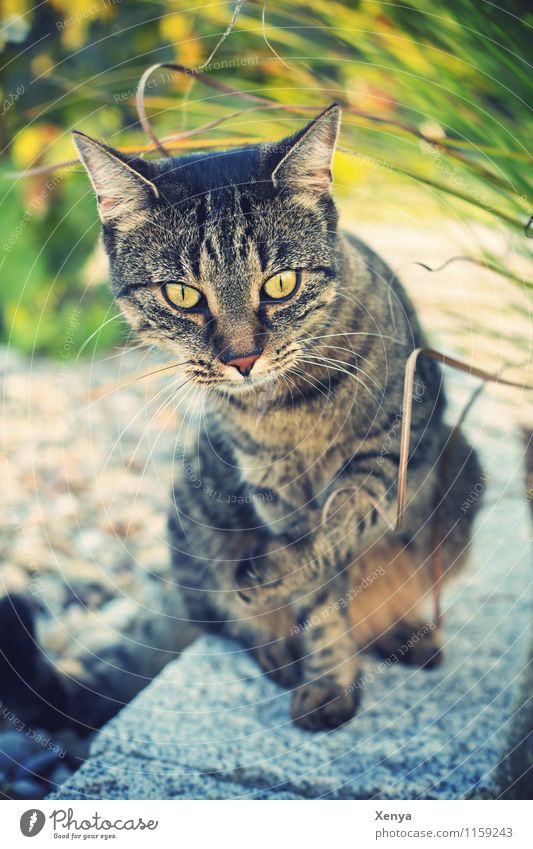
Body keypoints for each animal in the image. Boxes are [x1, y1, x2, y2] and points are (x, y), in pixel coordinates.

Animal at [0, 104, 482, 728]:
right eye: (182, 295)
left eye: (281, 284)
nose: (242, 359)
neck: (286, 408)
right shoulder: (268, 484)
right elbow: (318, 593)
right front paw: (326, 681)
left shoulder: (392, 448)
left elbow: (338, 529)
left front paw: (295, 600)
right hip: (194, 502)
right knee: (226, 618)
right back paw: (276, 648)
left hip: (462, 464)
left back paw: (402, 633)